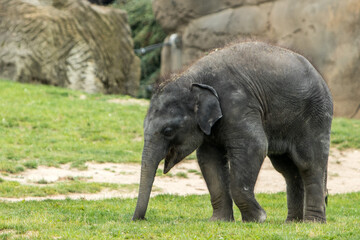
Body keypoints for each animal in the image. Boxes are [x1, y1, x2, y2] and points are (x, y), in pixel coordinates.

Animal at [132, 41, 332, 223]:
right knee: (287, 169)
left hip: (315, 116)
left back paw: (312, 222)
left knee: (309, 163)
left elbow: (255, 146)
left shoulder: (238, 104)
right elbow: (209, 159)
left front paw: (258, 218)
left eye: (167, 131)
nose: (139, 219)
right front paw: (219, 221)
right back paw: (292, 222)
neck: (190, 78)